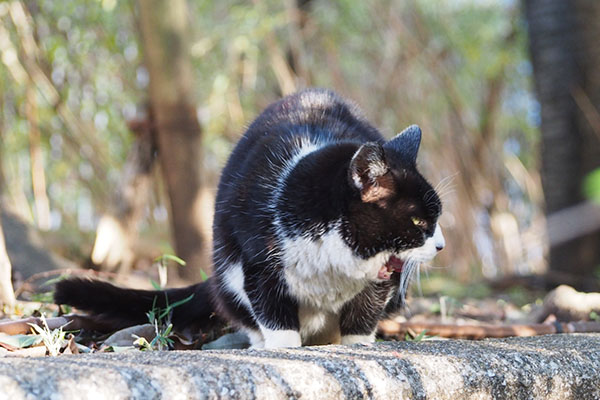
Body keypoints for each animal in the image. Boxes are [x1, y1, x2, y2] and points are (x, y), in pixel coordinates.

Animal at [54, 89, 442, 348]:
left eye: (437, 216)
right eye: (419, 222)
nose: (440, 245)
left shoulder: (379, 282)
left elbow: (363, 316)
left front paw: (356, 347)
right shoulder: (256, 259)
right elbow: (272, 311)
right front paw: (283, 349)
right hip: (228, 275)